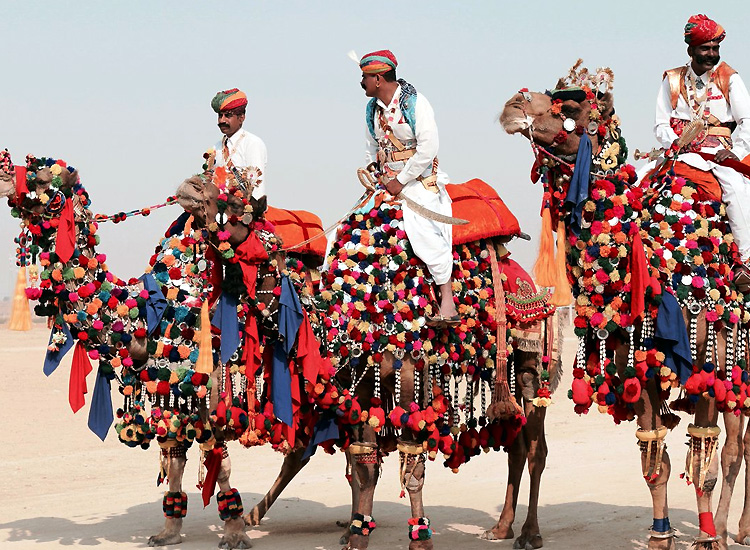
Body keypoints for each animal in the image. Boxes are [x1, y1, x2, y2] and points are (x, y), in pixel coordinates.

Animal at [0, 154, 340, 550]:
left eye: (40, 178)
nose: (191, 185)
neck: (147, 319)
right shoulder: (168, 396)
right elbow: (174, 460)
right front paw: (168, 532)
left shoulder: (210, 400)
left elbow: (220, 465)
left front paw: (233, 533)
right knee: (301, 450)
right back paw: (259, 515)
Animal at [500, 61, 750, 550]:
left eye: (570, 109)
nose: (512, 104)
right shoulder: (640, 364)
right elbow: (655, 456)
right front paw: (661, 535)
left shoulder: (707, 353)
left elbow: (706, 453)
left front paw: (707, 536)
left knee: (734, 449)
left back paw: (732, 530)